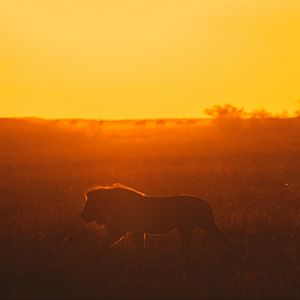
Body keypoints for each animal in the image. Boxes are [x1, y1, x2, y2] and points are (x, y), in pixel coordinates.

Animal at [80, 183, 227, 251]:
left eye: (90, 203)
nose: (82, 216)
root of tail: (207, 203)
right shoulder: (137, 230)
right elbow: (140, 246)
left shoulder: (120, 230)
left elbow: (106, 243)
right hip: (187, 228)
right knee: (187, 246)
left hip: (205, 224)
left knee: (222, 237)